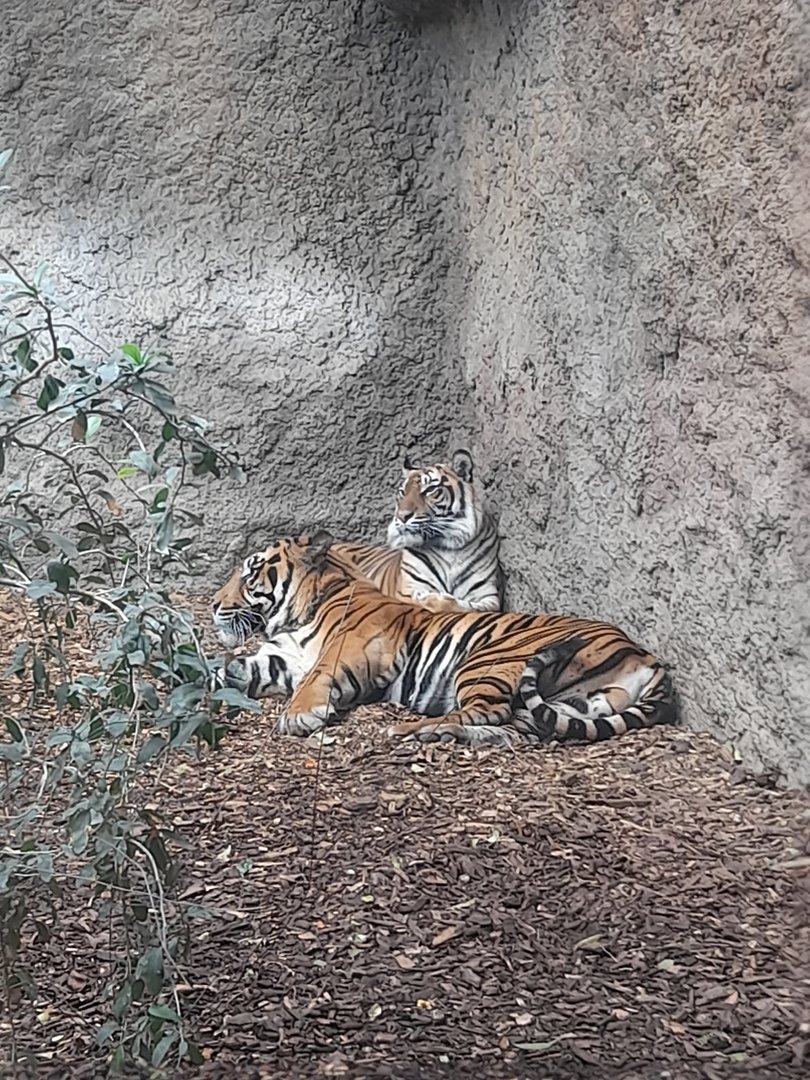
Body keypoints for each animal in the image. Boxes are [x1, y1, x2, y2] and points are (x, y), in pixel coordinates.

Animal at [211, 530, 677, 746]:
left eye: (251, 571)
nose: (214, 604)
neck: (292, 618)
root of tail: (643, 655)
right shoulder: (282, 659)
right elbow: (231, 668)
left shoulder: (352, 646)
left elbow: (316, 677)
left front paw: (298, 716)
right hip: (569, 705)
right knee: (513, 728)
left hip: (490, 659)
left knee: (483, 713)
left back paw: (408, 730)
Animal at [224, 449, 505, 697]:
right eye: (402, 492)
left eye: (430, 490)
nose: (402, 517)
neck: (448, 548)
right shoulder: (406, 591)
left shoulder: (490, 597)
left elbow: (470, 606)